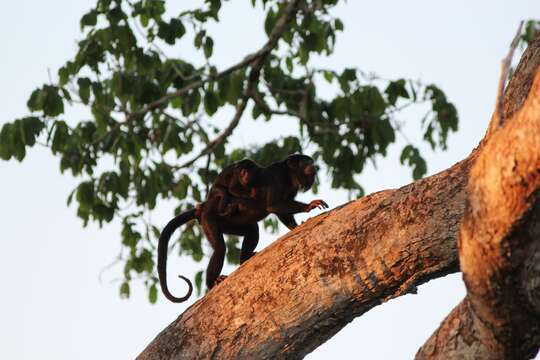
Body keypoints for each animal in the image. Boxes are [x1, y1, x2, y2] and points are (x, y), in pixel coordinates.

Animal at [157, 153, 330, 302]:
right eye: (306, 161)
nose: (313, 165)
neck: (290, 175)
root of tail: (203, 208)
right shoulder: (277, 177)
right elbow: (274, 205)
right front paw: (308, 206)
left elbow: (281, 212)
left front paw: (296, 226)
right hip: (208, 220)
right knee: (220, 248)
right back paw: (212, 282)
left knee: (252, 230)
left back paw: (244, 258)